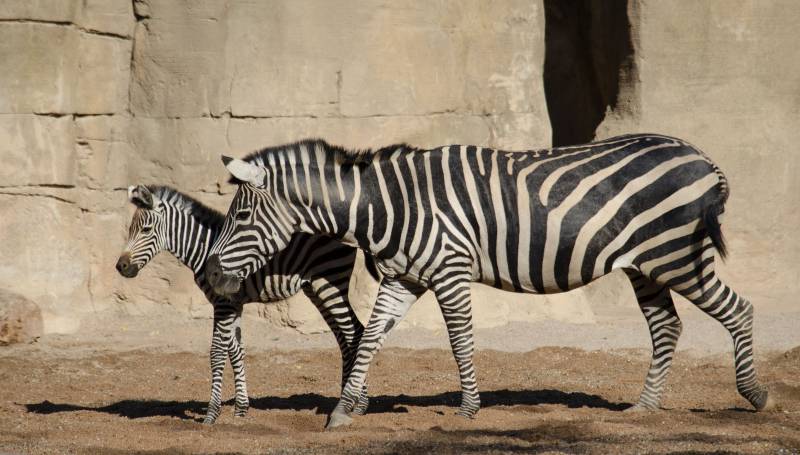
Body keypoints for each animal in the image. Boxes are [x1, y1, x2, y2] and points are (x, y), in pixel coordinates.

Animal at [115, 184, 372, 424]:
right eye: (130, 229)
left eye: (146, 229)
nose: (121, 267)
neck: (204, 248)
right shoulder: (234, 304)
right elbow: (236, 350)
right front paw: (241, 409)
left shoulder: (222, 303)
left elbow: (217, 352)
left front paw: (211, 415)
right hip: (317, 288)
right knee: (345, 338)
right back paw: (347, 399)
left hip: (330, 281)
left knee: (355, 332)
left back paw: (358, 404)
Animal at [205, 134, 776, 430]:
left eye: (241, 216)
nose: (210, 273)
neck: (388, 207)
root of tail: (702, 157)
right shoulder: (403, 277)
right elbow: (368, 339)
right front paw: (343, 411)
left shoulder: (450, 271)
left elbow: (460, 340)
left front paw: (468, 410)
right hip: (645, 265)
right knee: (667, 328)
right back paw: (645, 407)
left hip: (675, 253)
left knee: (738, 309)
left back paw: (755, 395)